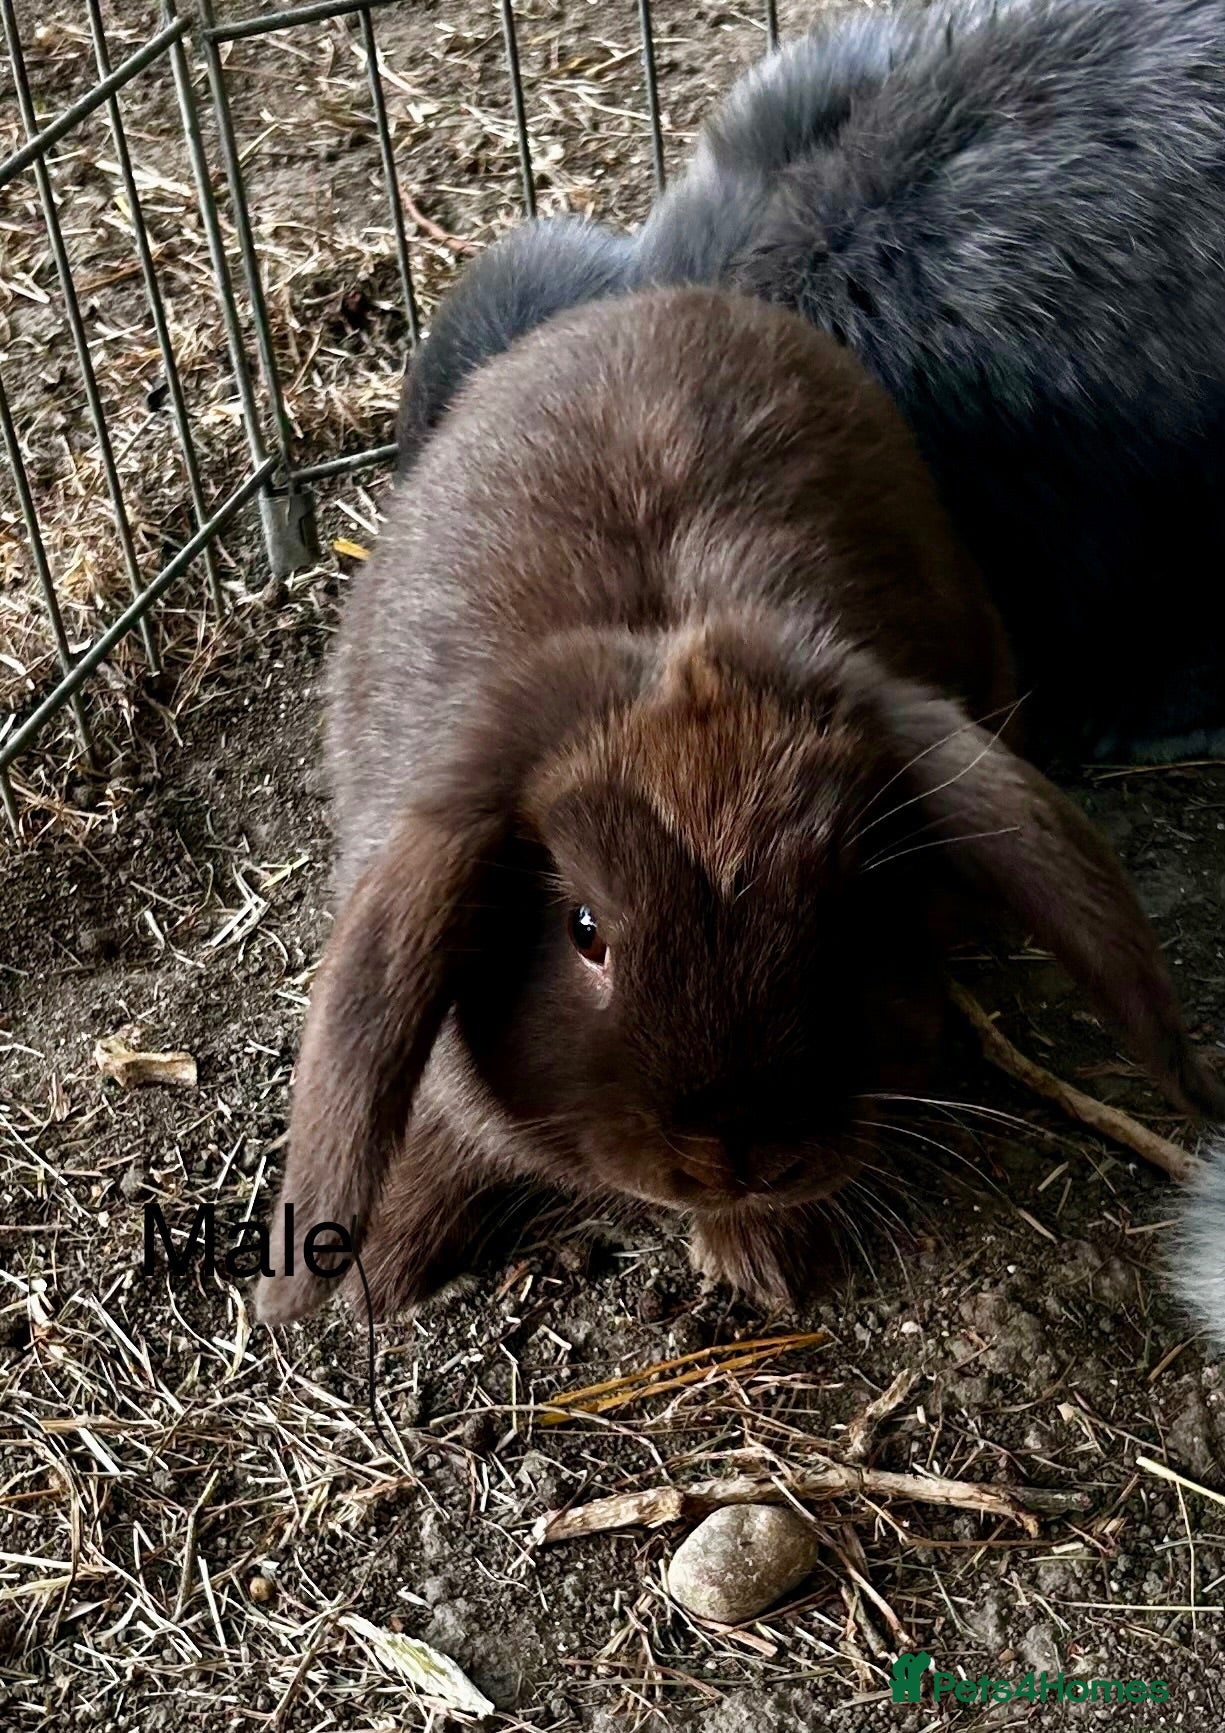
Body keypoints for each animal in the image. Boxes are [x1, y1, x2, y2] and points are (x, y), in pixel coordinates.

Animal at [255, 286, 1224, 1327]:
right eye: (583, 928)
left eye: (854, 911)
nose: (737, 1154)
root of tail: (667, 297)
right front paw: (377, 1259)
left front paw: (760, 1257)